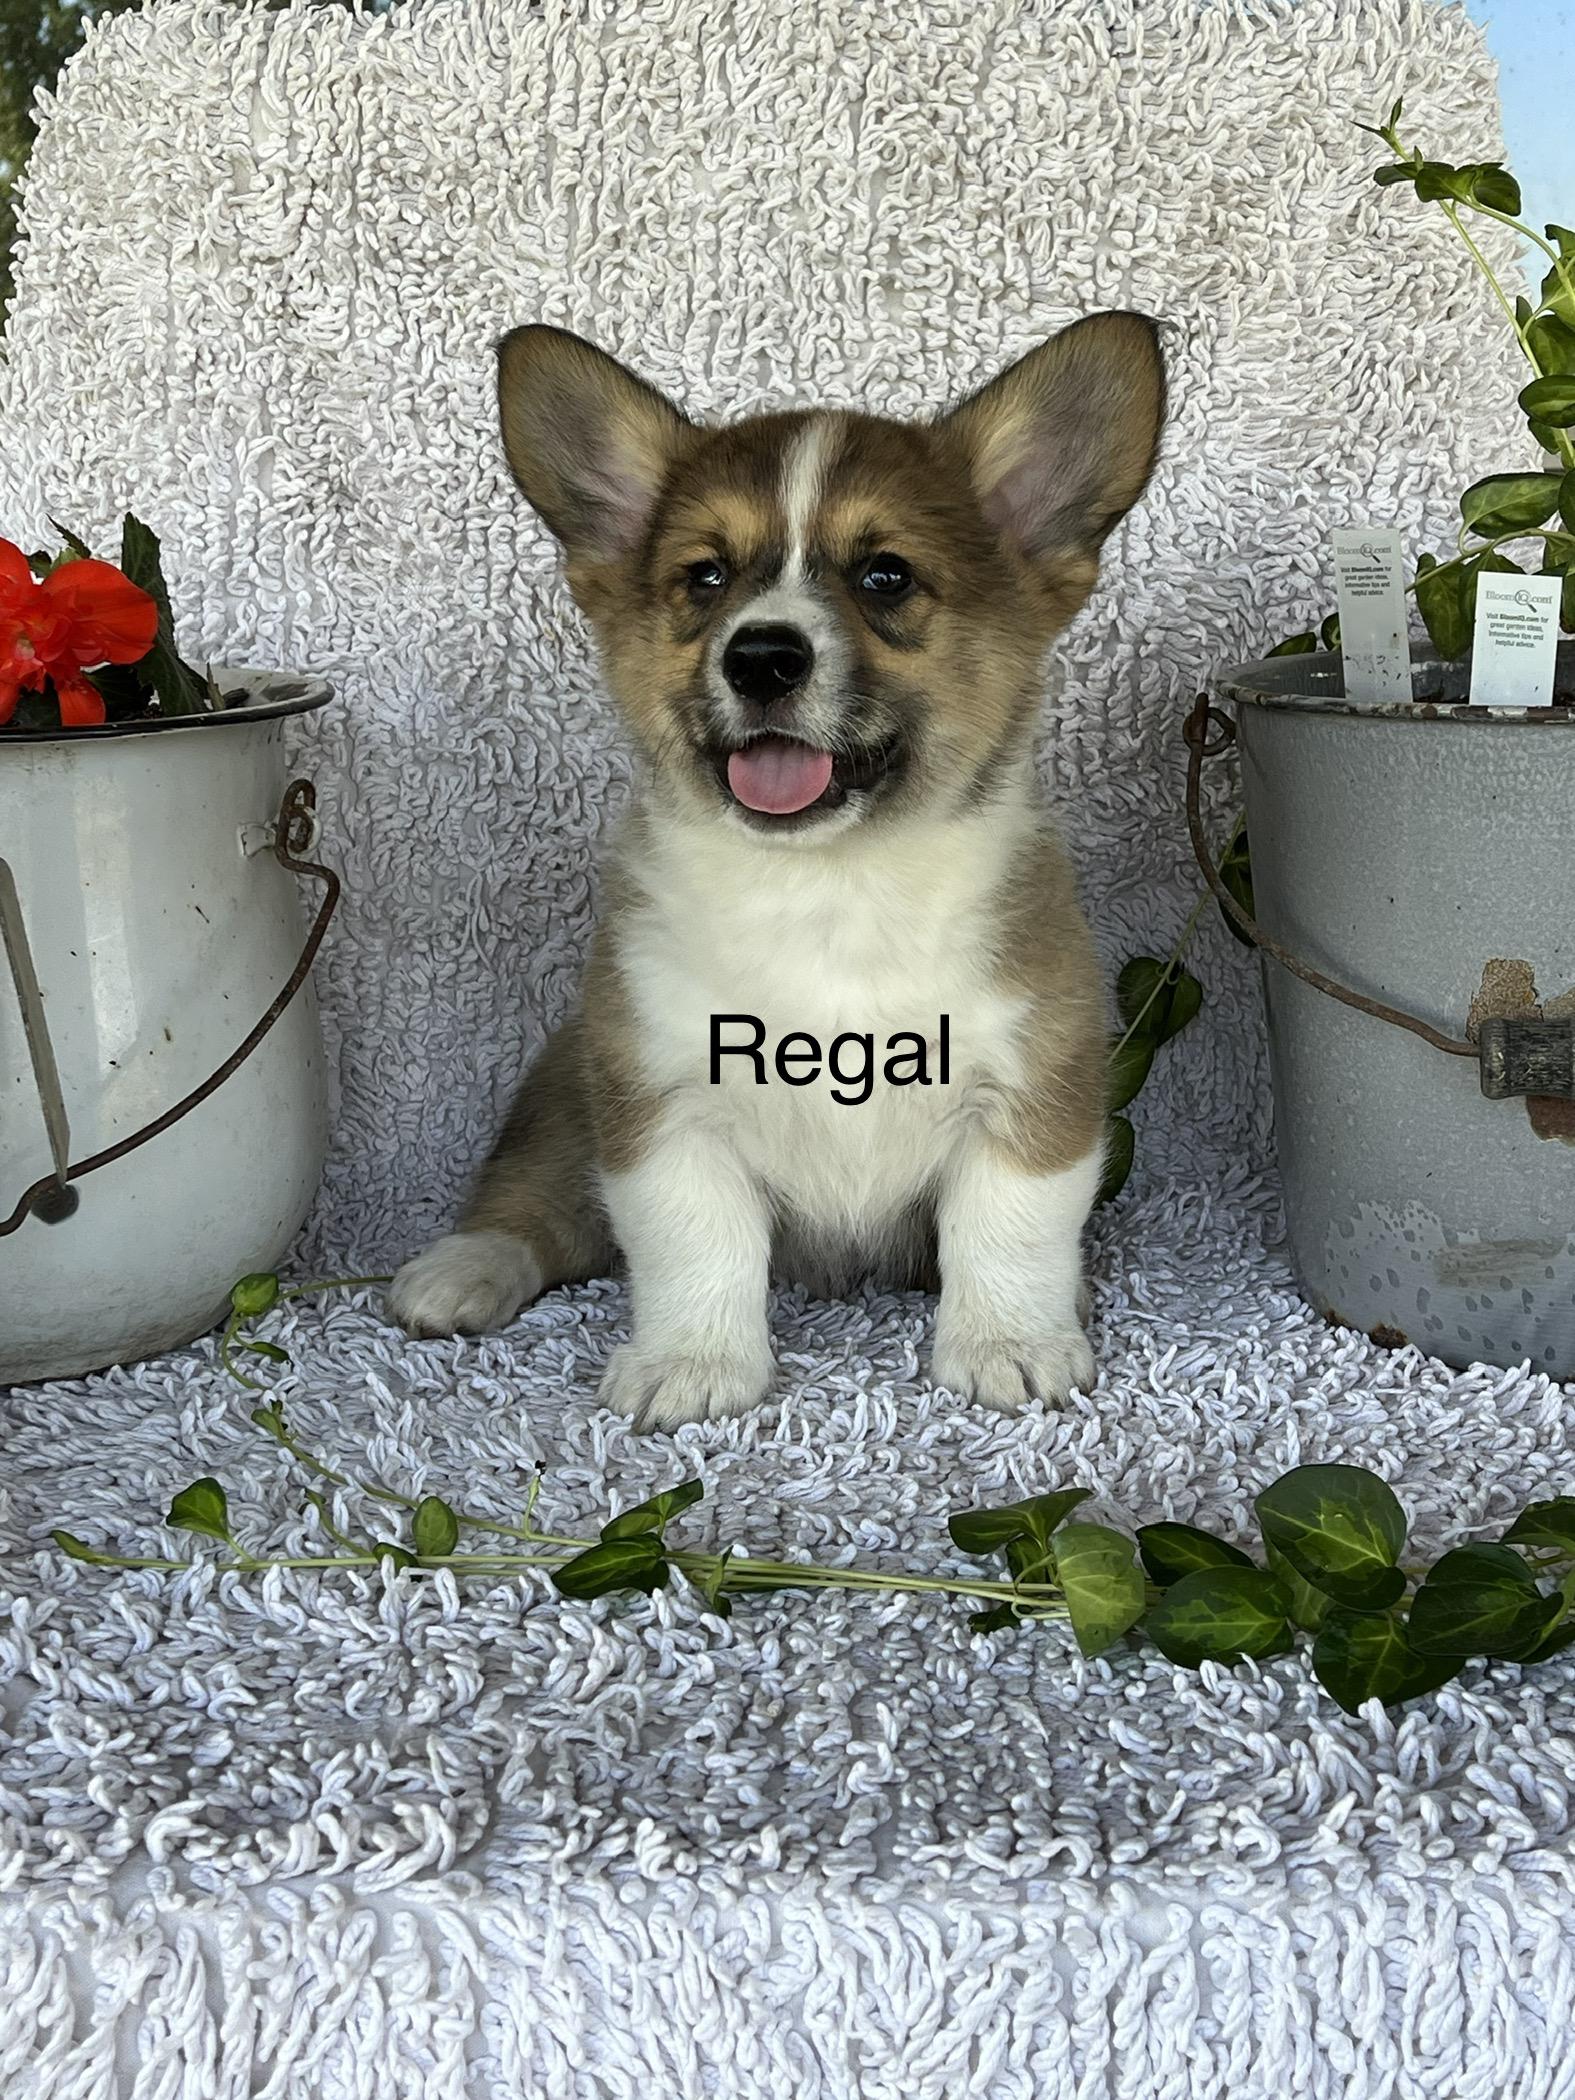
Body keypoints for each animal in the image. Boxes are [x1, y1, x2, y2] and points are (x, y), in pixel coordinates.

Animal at [390, 314, 1166, 1429]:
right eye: (707, 577)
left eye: (885, 576)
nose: (760, 656)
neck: (829, 889)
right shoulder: (662, 1096)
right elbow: (692, 1244)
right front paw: (693, 1362)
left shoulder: (1033, 1085)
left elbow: (1010, 1228)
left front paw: (1010, 1341)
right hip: (563, 1090)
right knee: (535, 1204)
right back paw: (464, 1268)